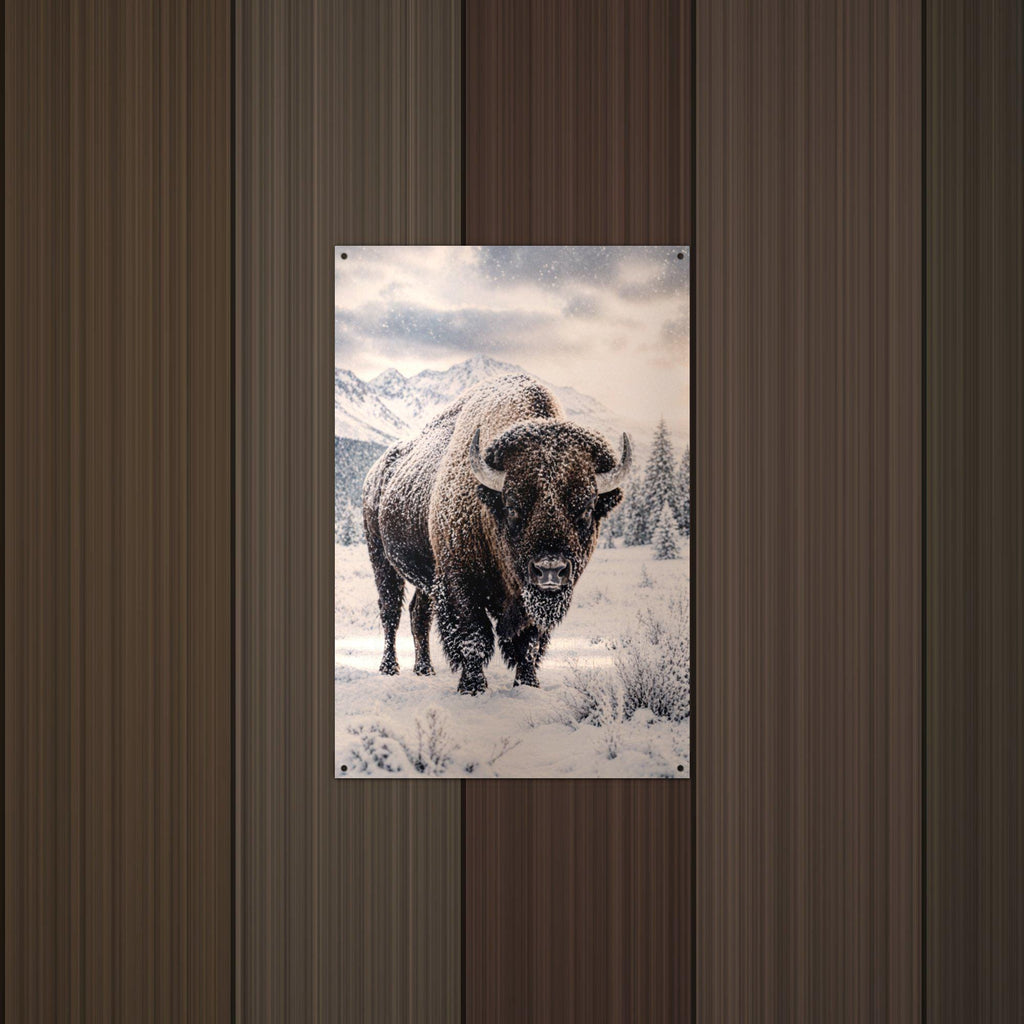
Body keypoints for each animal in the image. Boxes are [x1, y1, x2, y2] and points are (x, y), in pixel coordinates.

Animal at [362, 373, 632, 694]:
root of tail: (377, 473)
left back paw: (424, 669)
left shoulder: (527, 598)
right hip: (381, 559)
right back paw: (389, 668)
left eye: (587, 508)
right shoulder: (460, 583)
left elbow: (528, 644)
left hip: (425, 576)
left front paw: (528, 684)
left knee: (419, 614)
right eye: (512, 506)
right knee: (390, 612)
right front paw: (472, 687)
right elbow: (473, 638)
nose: (550, 570)